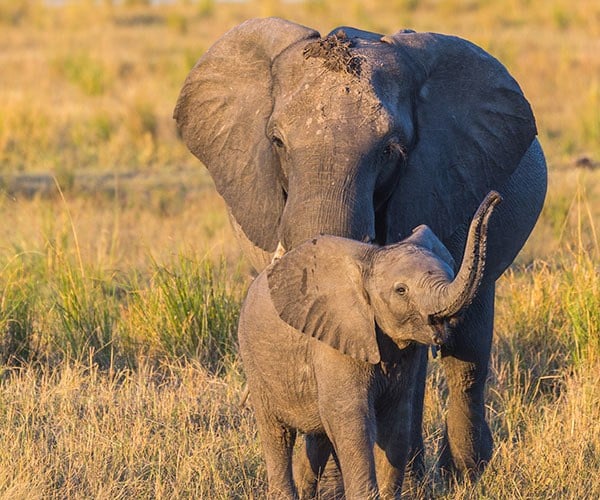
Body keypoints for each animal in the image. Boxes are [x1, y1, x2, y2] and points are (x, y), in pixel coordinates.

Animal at [239, 190, 502, 496]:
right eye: (401, 290)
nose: (495, 196)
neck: (373, 258)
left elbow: (396, 421)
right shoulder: (337, 342)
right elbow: (353, 420)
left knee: (318, 438)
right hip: (254, 360)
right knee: (277, 434)